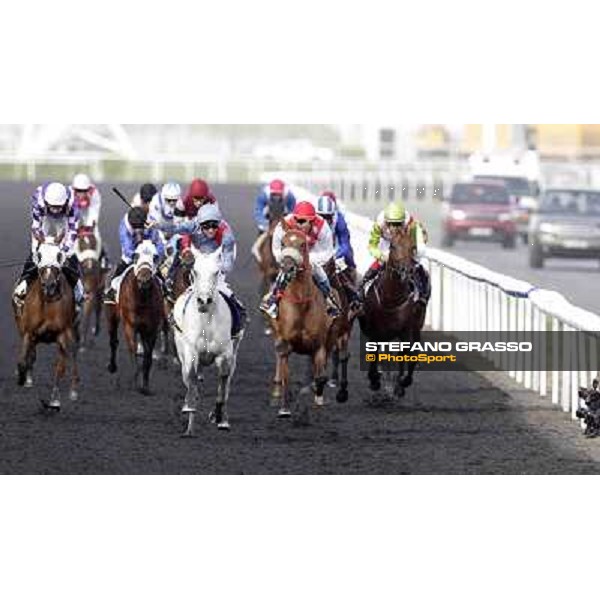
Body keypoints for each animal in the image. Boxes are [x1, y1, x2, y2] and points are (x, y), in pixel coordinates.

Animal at [12, 239, 78, 412]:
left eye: (59, 255)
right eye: (39, 255)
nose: (49, 285)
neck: (47, 303)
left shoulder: (63, 335)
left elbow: (60, 368)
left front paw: (54, 401)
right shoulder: (28, 333)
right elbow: (23, 361)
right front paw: (22, 378)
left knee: (71, 356)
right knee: (31, 355)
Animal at [106, 239, 164, 394]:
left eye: (155, 257)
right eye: (136, 255)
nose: (144, 280)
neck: (142, 298)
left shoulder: (151, 329)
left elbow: (148, 357)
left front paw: (145, 386)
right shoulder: (130, 326)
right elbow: (132, 350)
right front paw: (134, 383)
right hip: (111, 316)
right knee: (113, 341)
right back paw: (112, 367)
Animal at [266, 224, 338, 418]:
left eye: (303, 244)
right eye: (283, 243)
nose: (287, 266)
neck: (301, 303)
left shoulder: (319, 344)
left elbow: (320, 376)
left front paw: (317, 395)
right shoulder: (285, 343)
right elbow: (286, 376)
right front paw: (284, 407)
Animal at [358, 227, 428, 396]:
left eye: (413, 247)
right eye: (393, 246)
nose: (405, 270)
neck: (391, 298)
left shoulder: (406, 329)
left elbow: (407, 353)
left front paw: (402, 382)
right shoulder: (374, 329)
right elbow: (373, 353)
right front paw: (374, 379)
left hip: (416, 326)